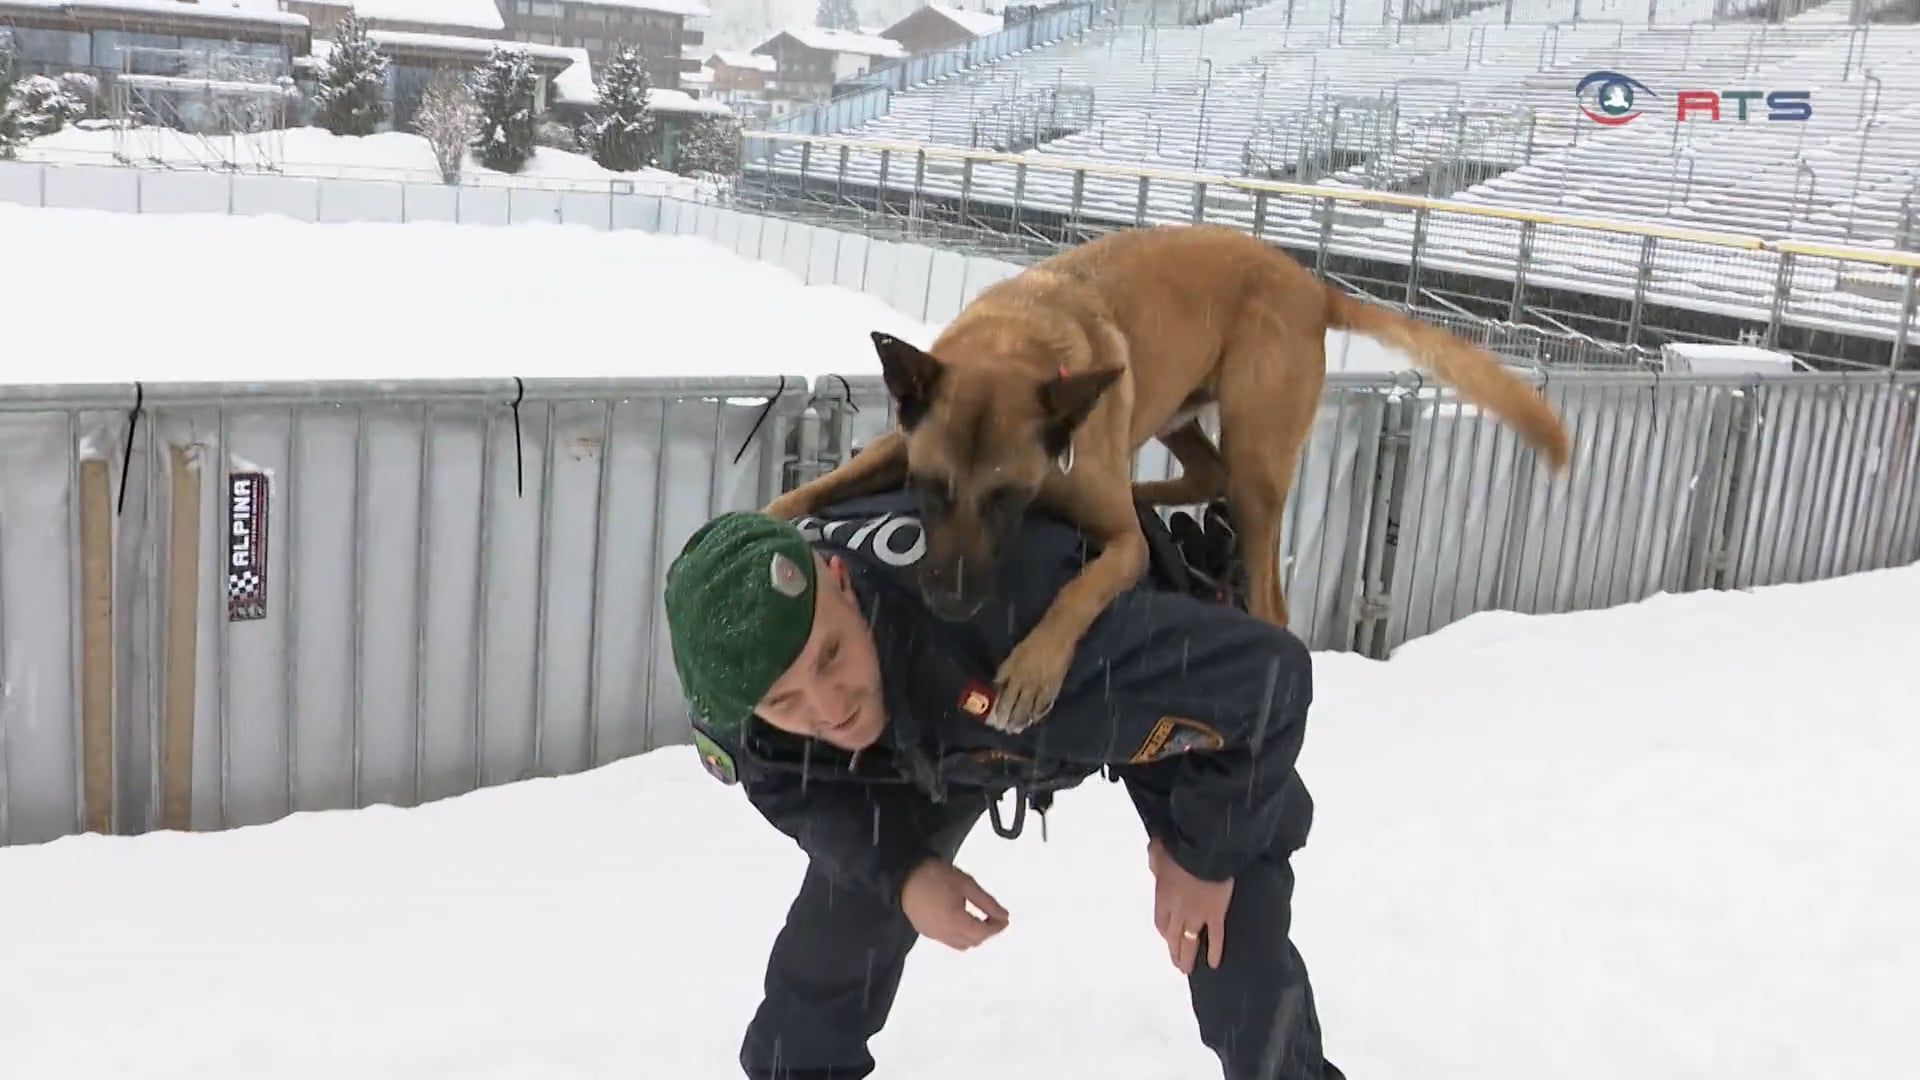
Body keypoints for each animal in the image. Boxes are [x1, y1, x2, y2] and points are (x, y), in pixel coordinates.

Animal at [756, 224, 1566, 730]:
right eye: (932, 489)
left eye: (1009, 499)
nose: (952, 602)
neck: (1018, 343)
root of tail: (1311, 285)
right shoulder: (898, 445)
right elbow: (807, 491)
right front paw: (767, 515)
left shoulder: (1119, 546)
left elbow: (1082, 590)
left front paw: (1034, 671)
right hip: (1179, 407)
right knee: (1201, 471)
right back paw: (1150, 491)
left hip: (1257, 455)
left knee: (1263, 579)